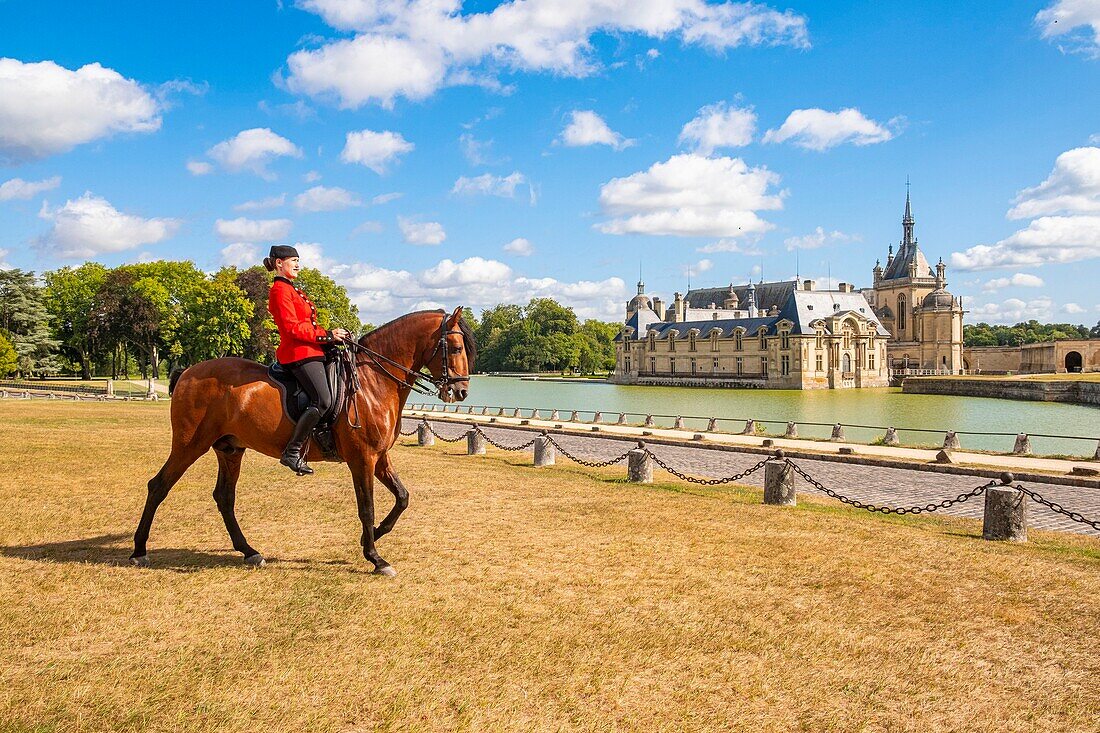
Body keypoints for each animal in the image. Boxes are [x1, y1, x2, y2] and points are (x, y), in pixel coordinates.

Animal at [128, 305, 473, 572]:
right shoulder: (362, 459)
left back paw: (249, 551)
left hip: (230, 449)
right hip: (189, 445)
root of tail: (187, 372)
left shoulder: (380, 457)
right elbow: (367, 507)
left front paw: (371, 537)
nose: (461, 391)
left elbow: (402, 497)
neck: (372, 381)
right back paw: (139, 551)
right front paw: (375, 557)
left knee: (224, 497)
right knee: (158, 486)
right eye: (456, 348)